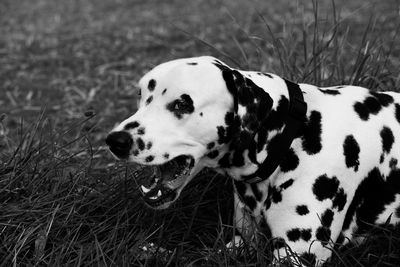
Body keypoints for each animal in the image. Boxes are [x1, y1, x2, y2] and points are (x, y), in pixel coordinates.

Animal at [106, 56, 400, 266]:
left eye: (182, 104)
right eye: (142, 97)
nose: (115, 140)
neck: (291, 135)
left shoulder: (295, 256)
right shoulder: (243, 242)